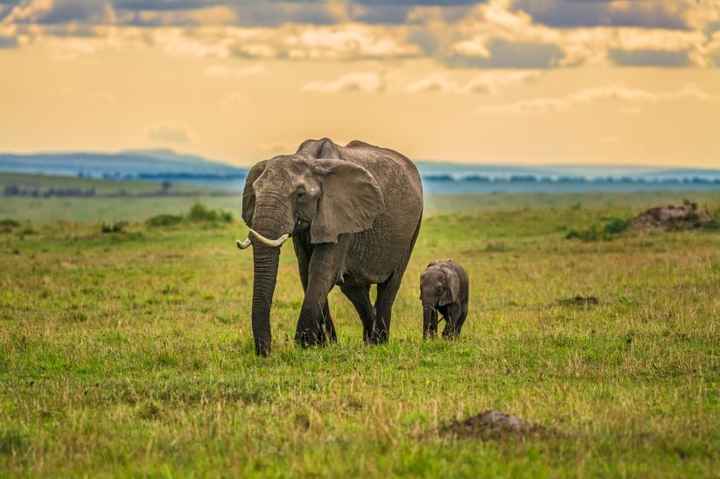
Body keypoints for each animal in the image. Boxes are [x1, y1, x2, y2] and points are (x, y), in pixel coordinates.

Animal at [239, 139, 424, 356]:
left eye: (300, 194)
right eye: (255, 192)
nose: (265, 352)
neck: (311, 161)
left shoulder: (341, 215)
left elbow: (322, 271)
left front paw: (304, 346)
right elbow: (306, 272)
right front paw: (324, 346)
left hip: (412, 230)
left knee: (390, 284)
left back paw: (380, 343)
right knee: (355, 291)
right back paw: (369, 341)